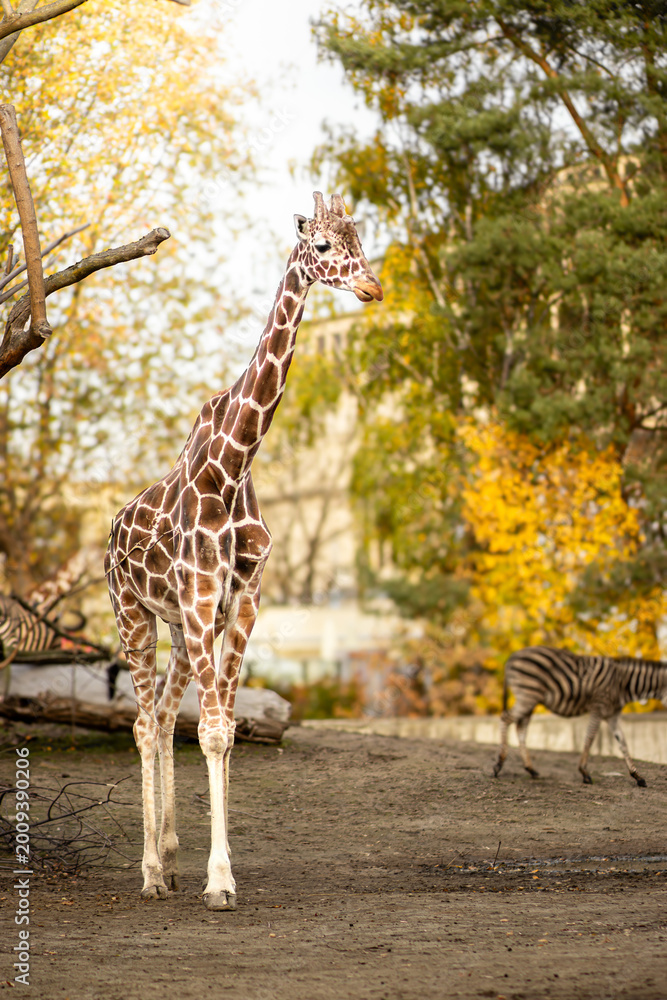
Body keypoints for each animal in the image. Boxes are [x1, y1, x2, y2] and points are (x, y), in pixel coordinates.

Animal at [105, 192, 382, 910]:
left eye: (359, 239)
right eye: (322, 246)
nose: (372, 286)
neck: (232, 468)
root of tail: (111, 531)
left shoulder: (241, 603)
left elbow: (224, 730)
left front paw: (217, 871)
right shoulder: (204, 601)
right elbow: (209, 730)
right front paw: (219, 882)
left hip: (178, 628)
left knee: (164, 716)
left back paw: (171, 857)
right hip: (134, 616)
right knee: (143, 724)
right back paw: (150, 871)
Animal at [492, 645, 667, 787]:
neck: (622, 683)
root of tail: (513, 656)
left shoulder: (612, 715)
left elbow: (623, 743)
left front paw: (638, 777)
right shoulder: (598, 708)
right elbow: (590, 738)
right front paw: (584, 773)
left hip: (531, 700)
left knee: (520, 727)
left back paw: (531, 769)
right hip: (527, 696)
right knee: (506, 718)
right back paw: (499, 764)